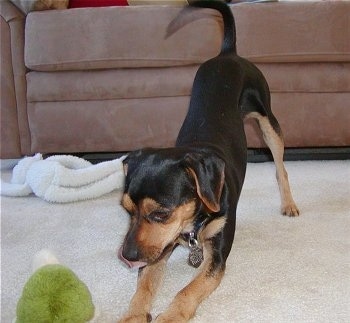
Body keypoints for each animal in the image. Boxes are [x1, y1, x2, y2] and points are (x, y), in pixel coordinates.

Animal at [117, 1, 298, 322]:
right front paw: (133, 315)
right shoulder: (161, 246)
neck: (194, 221)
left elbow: (189, 290)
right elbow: (145, 285)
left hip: (267, 120)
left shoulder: (217, 256)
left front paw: (170, 316)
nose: (127, 257)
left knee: (280, 167)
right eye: (126, 210)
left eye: (161, 214)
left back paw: (288, 203)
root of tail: (228, 53)